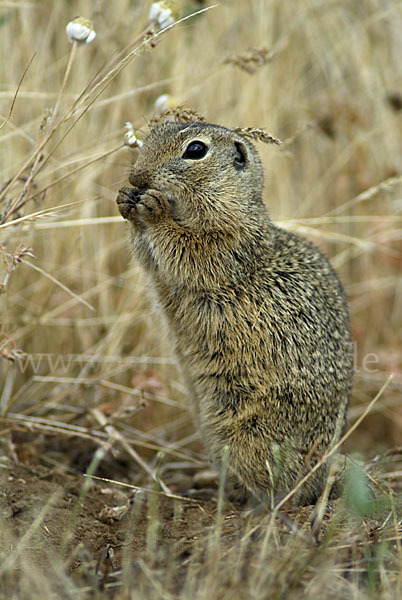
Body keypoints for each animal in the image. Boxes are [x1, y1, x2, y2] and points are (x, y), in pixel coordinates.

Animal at [115, 122, 352, 506]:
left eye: (196, 150)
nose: (137, 177)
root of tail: (324, 467)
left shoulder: (226, 243)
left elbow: (187, 249)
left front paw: (154, 210)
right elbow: (150, 258)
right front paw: (125, 200)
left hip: (247, 436)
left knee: (289, 487)